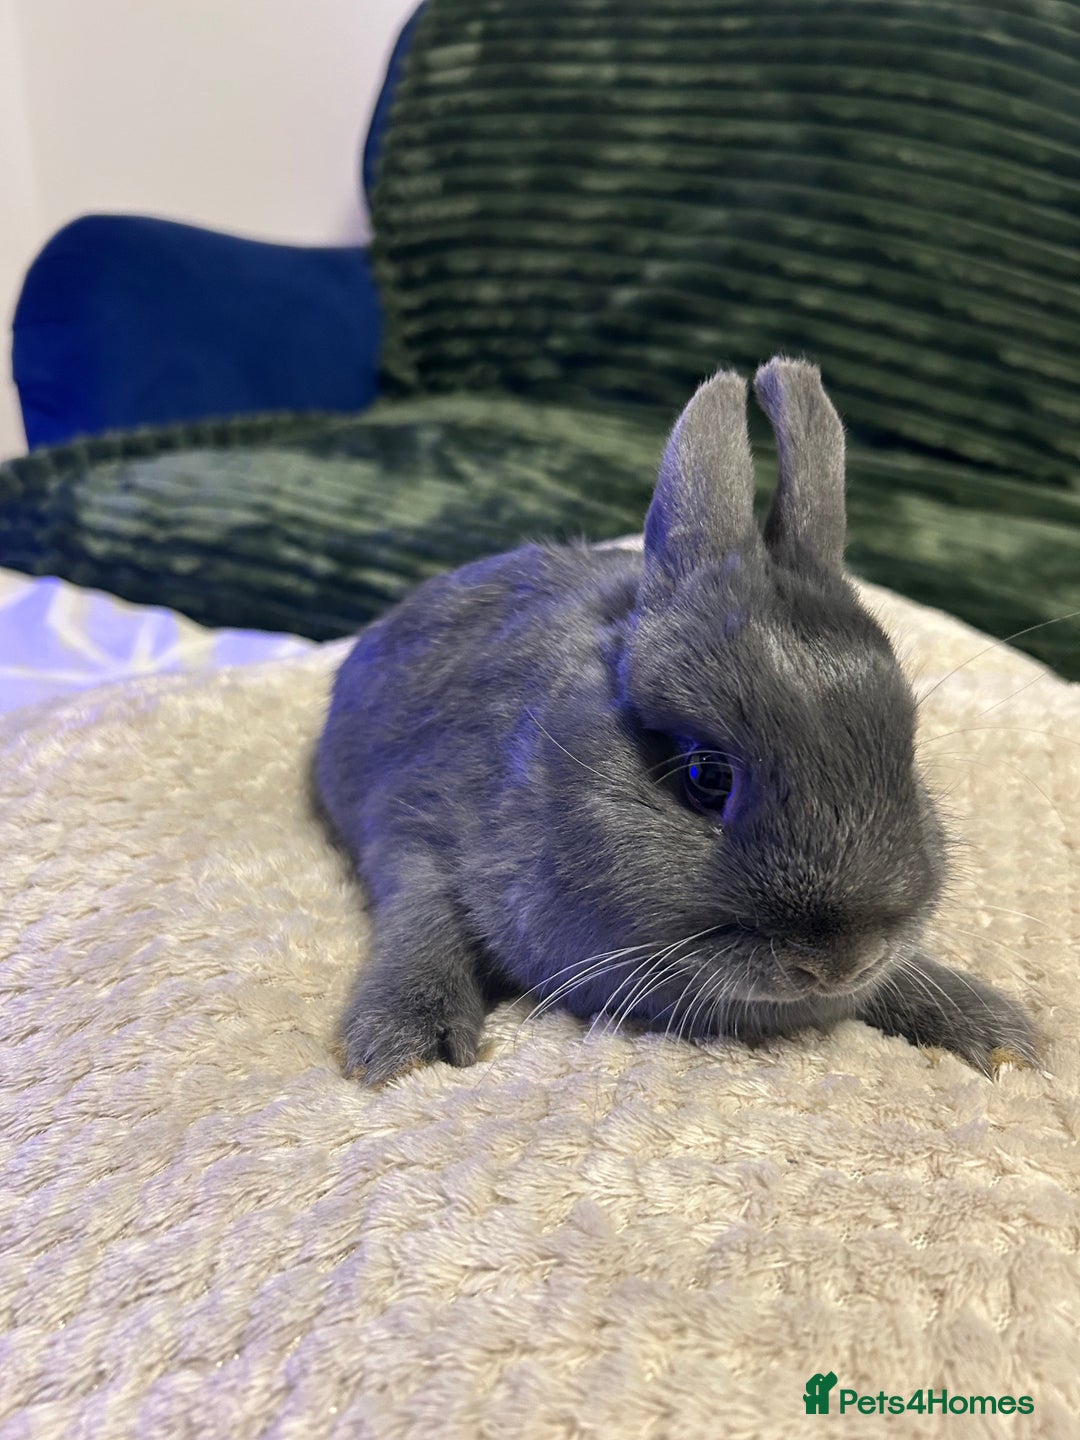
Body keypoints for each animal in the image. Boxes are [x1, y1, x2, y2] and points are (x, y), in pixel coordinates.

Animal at [314, 357, 1039, 1086]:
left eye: (907, 758)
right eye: (705, 778)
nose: (839, 962)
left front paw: (1000, 1036)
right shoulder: (416, 825)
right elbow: (423, 923)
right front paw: (407, 1048)